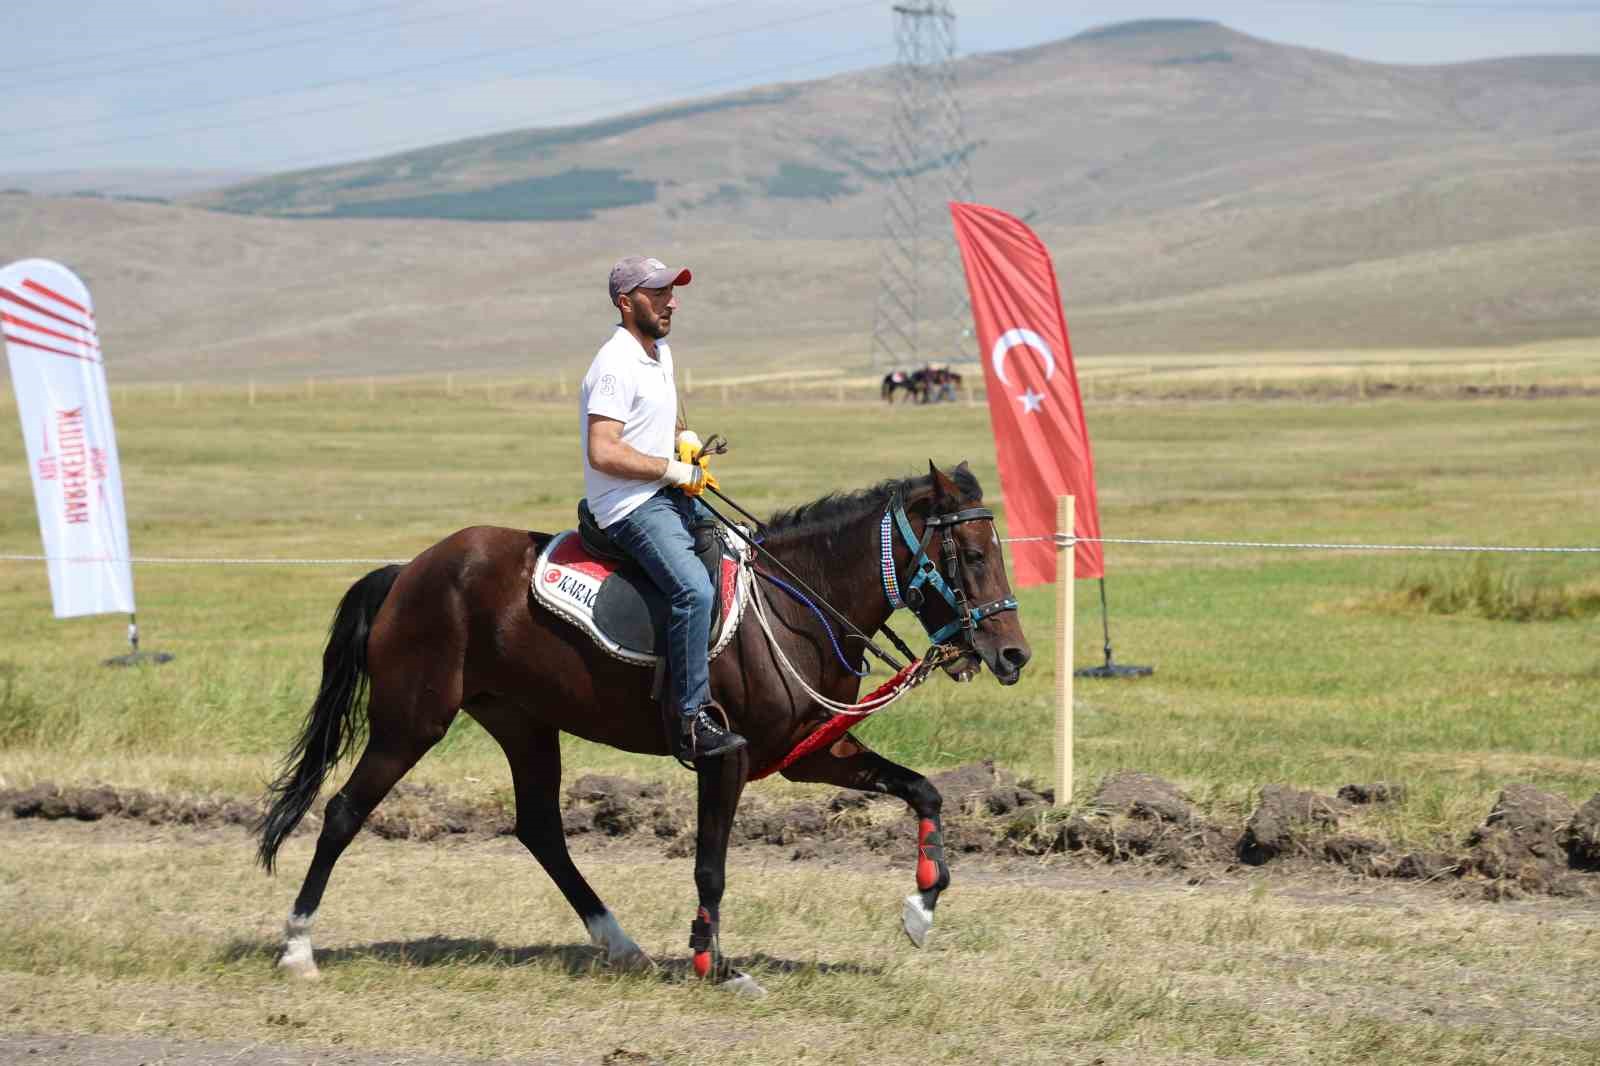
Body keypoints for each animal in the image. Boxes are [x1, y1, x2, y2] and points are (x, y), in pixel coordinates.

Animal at [256, 460, 1030, 992]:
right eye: (972, 556)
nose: (1013, 654)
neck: (797, 605)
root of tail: (410, 569)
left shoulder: (810, 752)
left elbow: (925, 790)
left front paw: (921, 908)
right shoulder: (726, 756)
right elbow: (711, 864)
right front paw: (714, 963)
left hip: (523, 723)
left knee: (541, 830)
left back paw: (619, 943)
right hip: (411, 722)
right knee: (344, 811)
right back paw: (297, 945)